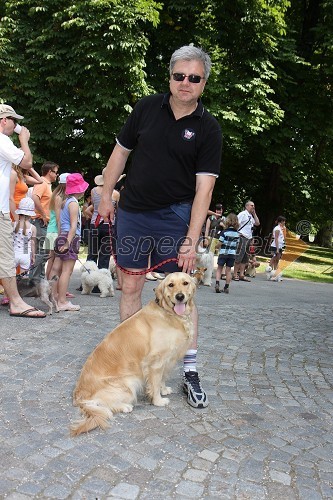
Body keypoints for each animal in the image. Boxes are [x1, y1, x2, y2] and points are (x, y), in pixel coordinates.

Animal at [70, 272, 195, 436]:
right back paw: (125, 406)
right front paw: (158, 400)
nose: (180, 297)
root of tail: (79, 397)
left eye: (185, 283)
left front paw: (164, 390)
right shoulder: (156, 362)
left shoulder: (166, 359)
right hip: (128, 385)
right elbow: (155, 383)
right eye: (170, 285)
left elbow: (161, 379)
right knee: (105, 406)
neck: (168, 312)